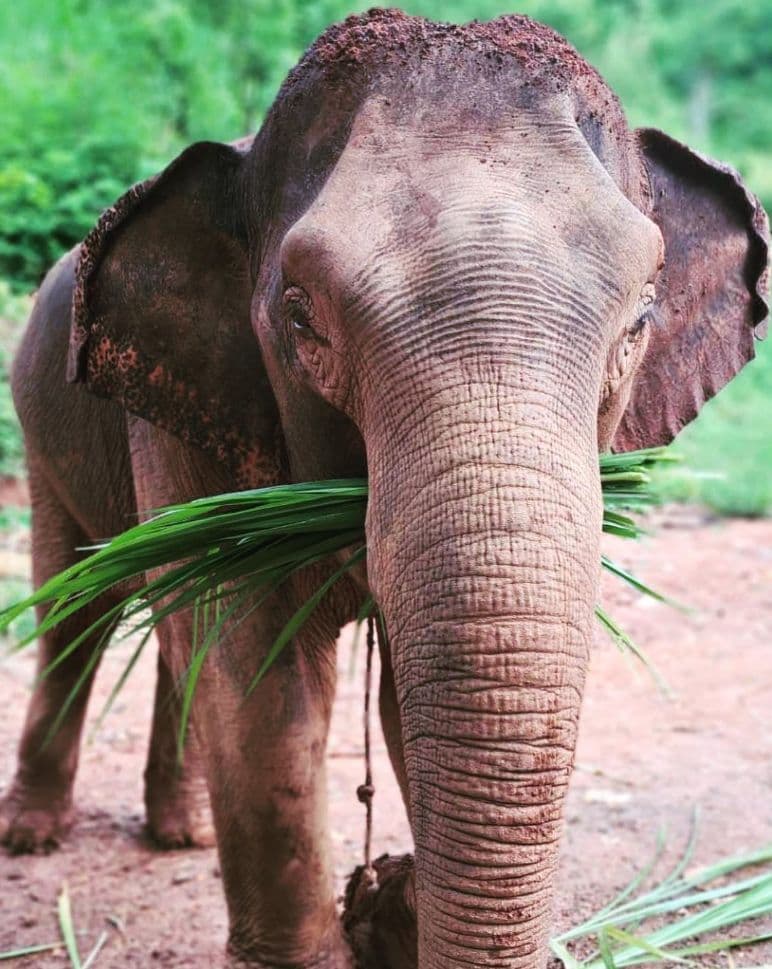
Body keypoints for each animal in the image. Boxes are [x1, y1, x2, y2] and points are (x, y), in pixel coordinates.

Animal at [3, 8, 769, 968]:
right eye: (301, 316)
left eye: (640, 319)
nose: (385, 891)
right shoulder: (193, 418)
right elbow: (258, 678)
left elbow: (411, 697)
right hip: (40, 428)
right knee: (78, 612)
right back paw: (34, 834)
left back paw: (180, 832)